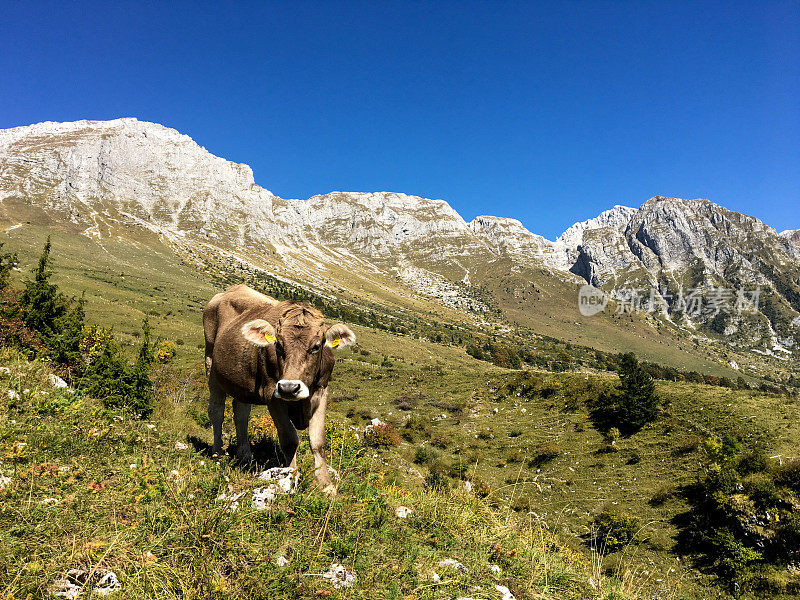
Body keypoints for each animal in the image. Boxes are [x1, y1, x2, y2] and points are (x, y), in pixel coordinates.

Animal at [203, 284, 356, 494]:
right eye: (278, 345)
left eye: (316, 346)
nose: (289, 388)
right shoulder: (272, 394)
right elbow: (289, 439)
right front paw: (291, 477)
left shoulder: (322, 390)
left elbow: (318, 442)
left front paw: (327, 486)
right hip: (211, 362)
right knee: (216, 410)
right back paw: (218, 452)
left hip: (242, 380)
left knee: (241, 412)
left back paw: (245, 455)